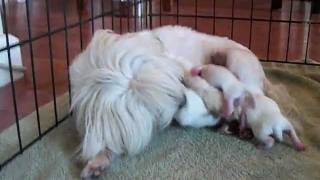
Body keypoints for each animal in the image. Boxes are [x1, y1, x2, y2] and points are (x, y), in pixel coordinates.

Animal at [70, 25, 258, 179]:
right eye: (150, 107)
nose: (183, 101)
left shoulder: (175, 64)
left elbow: (194, 80)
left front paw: (215, 100)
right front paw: (97, 162)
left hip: (237, 61)